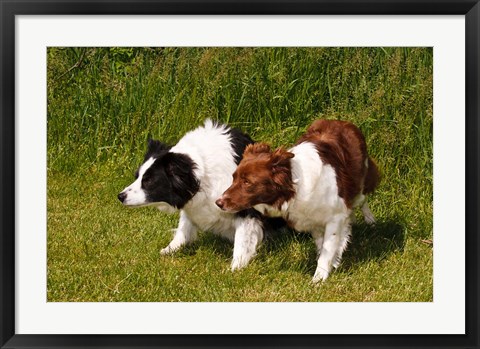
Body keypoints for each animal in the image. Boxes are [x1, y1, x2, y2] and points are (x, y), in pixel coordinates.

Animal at [118, 119, 264, 270]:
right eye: (137, 176)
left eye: (148, 181)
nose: (120, 196)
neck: (201, 173)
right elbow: (183, 229)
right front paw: (169, 250)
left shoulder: (245, 208)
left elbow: (242, 240)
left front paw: (236, 268)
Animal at [217, 119, 378, 280]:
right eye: (233, 178)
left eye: (247, 182)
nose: (218, 203)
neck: (295, 188)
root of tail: (340, 121)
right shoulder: (313, 220)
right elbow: (322, 246)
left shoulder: (335, 217)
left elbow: (327, 251)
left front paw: (319, 278)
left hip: (359, 186)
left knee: (363, 200)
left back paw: (370, 220)